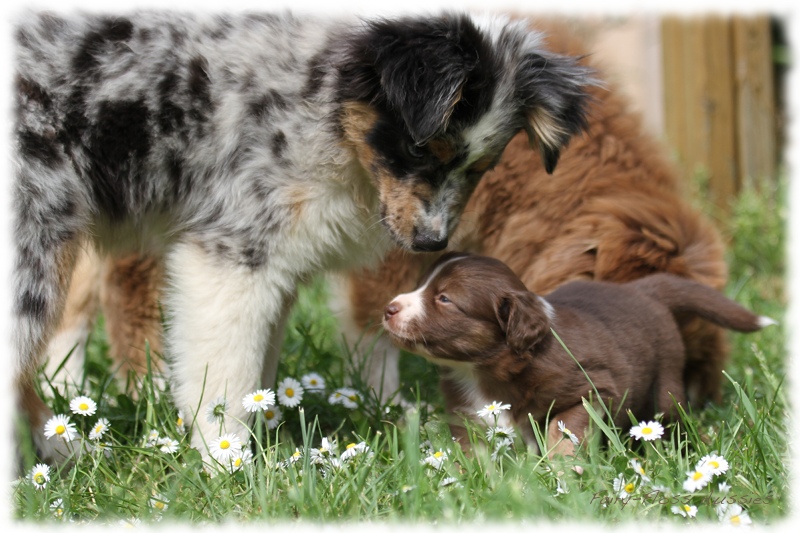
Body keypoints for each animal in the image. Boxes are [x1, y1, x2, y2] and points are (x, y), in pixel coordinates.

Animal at [384, 252, 772, 454]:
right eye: (422, 286)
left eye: (444, 298)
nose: (389, 308)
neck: (483, 369)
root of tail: (643, 289)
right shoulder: (466, 414)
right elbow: (469, 449)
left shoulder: (593, 388)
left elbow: (563, 429)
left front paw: (561, 470)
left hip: (665, 385)